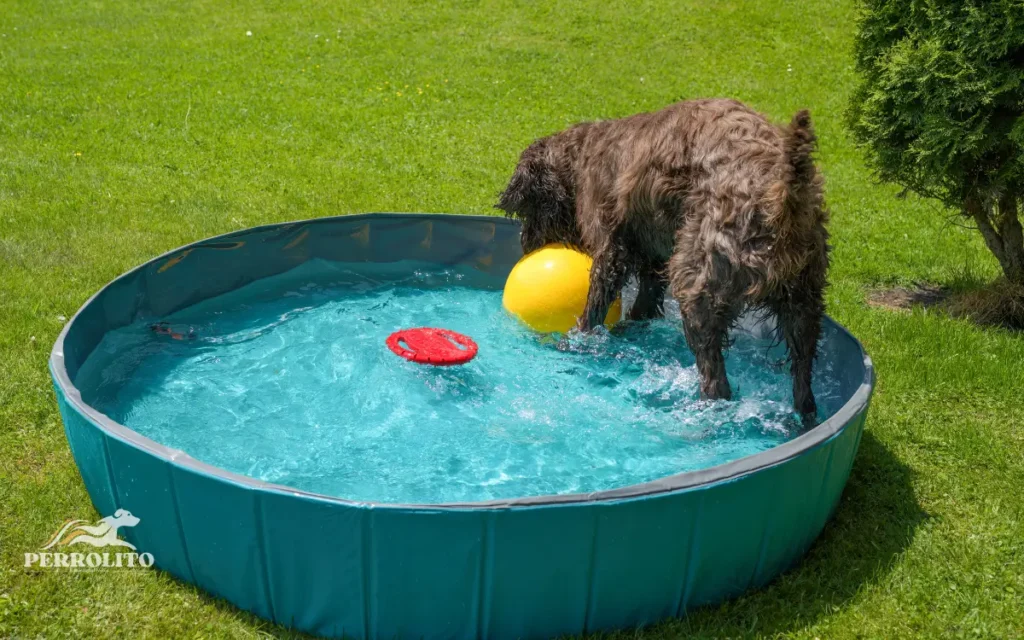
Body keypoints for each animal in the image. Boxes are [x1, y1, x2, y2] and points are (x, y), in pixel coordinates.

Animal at [495, 97, 831, 421]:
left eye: (528, 210)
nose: (525, 245)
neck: (582, 156)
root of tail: (782, 194)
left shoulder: (610, 248)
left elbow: (596, 305)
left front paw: (577, 341)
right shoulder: (652, 255)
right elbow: (645, 300)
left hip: (701, 282)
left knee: (715, 379)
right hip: (804, 296)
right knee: (803, 372)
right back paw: (803, 416)